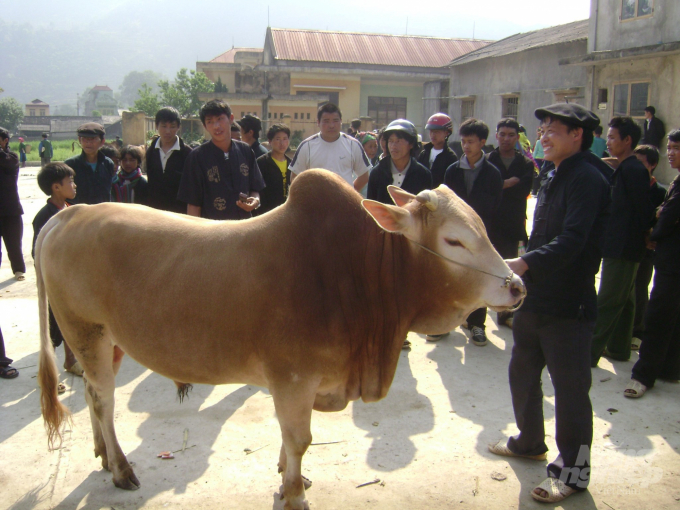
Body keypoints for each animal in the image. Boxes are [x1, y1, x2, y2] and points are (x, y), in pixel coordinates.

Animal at [37, 169, 524, 508]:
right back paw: (120, 469)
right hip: (88, 335)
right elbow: (299, 439)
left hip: (110, 343)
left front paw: (291, 475)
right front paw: (294, 493)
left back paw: (103, 453)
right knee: (104, 401)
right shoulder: (293, 379)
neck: (359, 271)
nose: (517, 286)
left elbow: (292, 443)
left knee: (94, 396)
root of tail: (67, 214)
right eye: (455, 241)